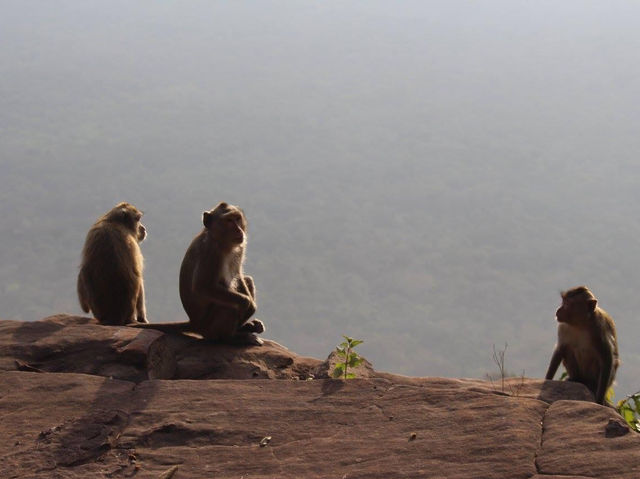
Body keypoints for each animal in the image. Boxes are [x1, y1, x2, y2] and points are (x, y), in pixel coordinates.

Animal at [134, 202, 264, 344]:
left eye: (237, 218)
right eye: (229, 220)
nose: (239, 230)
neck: (221, 241)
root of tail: (194, 324)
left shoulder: (239, 248)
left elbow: (238, 275)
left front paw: (251, 307)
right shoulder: (210, 251)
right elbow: (203, 286)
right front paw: (246, 303)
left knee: (247, 280)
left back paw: (245, 328)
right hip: (209, 327)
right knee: (228, 306)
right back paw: (231, 337)